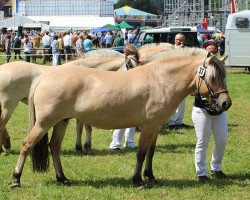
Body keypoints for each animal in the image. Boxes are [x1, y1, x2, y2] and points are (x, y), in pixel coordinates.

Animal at [10, 47, 231, 188]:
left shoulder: (156, 127)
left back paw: (62, 178)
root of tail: (43, 77)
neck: (160, 80)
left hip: (61, 122)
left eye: (224, 75)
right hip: (44, 123)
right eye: (212, 77)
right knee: (27, 144)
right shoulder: (148, 127)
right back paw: (15, 180)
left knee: (54, 147)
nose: (225, 104)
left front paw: (150, 176)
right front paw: (138, 180)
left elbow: (151, 153)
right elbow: (141, 153)